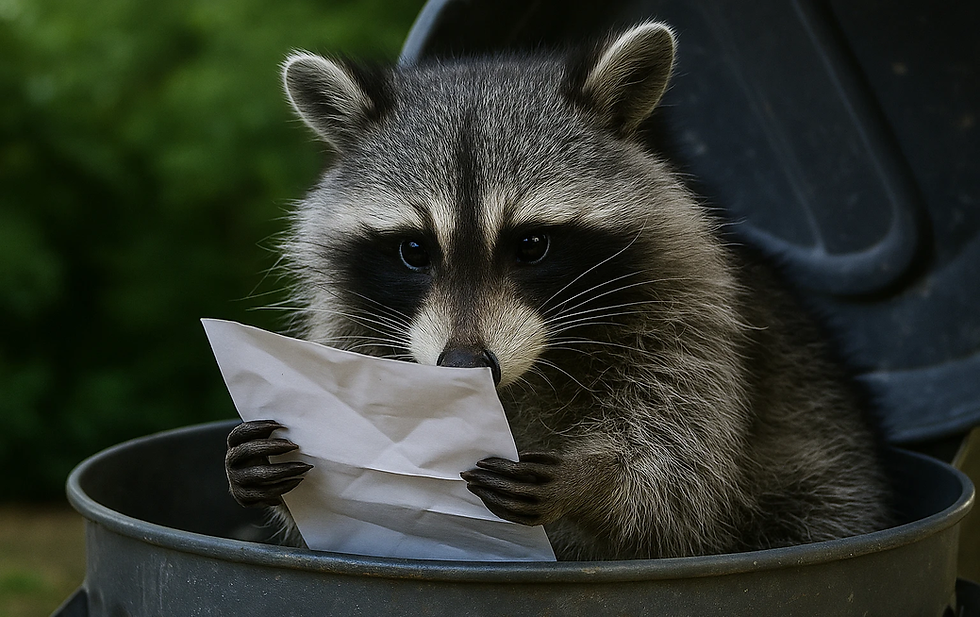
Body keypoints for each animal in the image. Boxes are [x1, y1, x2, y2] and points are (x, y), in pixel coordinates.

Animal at [225, 22, 892, 560]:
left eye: (532, 245)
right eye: (414, 250)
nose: (464, 364)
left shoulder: (693, 316)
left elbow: (681, 477)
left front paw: (595, 480)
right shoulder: (352, 323)